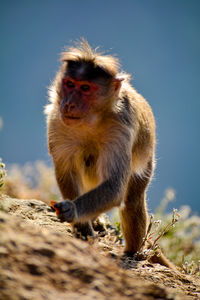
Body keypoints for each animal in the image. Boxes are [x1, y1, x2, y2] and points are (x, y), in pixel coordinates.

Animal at [45, 39, 175, 270]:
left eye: (85, 88)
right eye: (70, 83)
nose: (69, 104)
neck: (92, 120)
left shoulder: (121, 128)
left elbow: (115, 188)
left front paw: (73, 211)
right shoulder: (56, 121)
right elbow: (66, 172)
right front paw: (82, 228)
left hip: (146, 164)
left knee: (131, 201)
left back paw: (133, 252)